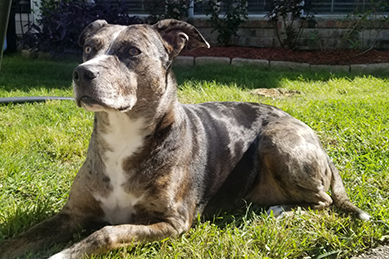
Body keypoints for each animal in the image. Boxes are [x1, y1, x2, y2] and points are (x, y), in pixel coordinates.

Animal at [0, 19, 370, 258]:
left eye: (132, 51)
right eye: (89, 48)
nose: (81, 72)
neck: (123, 134)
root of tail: (316, 140)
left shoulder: (173, 222)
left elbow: (105, 233)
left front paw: (65, 254)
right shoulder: (71, 214)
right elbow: (20, 238)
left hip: (276, 140)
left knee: (322, 202)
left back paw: (281, 211)